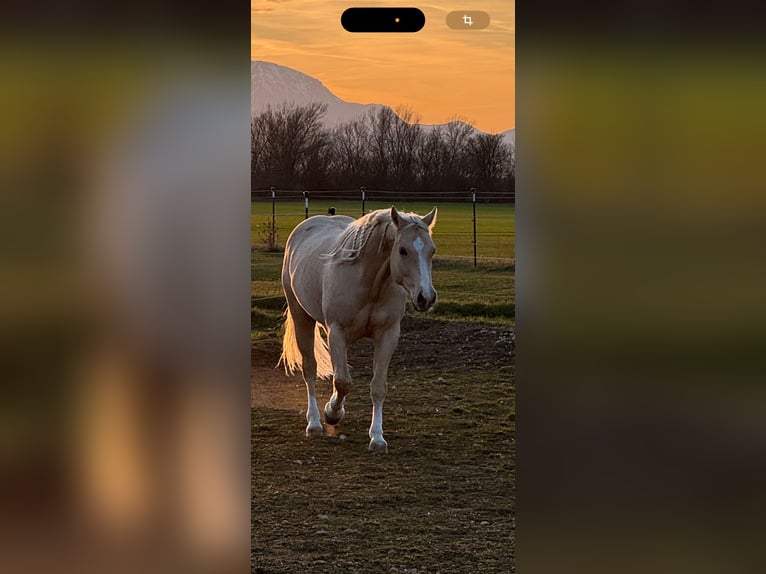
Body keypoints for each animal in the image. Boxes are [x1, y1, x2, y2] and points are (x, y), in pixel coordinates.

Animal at [280, 207, 440, 454]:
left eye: (432, 251)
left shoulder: (388, 335)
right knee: (310, 369)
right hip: (301, 317)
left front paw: (377, 438)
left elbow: (377, 387)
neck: (370, 282)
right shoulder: (336, 332)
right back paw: (314, 422)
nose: (426, 297)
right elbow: (342, 382)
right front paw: (332, 413)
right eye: (403, 250)